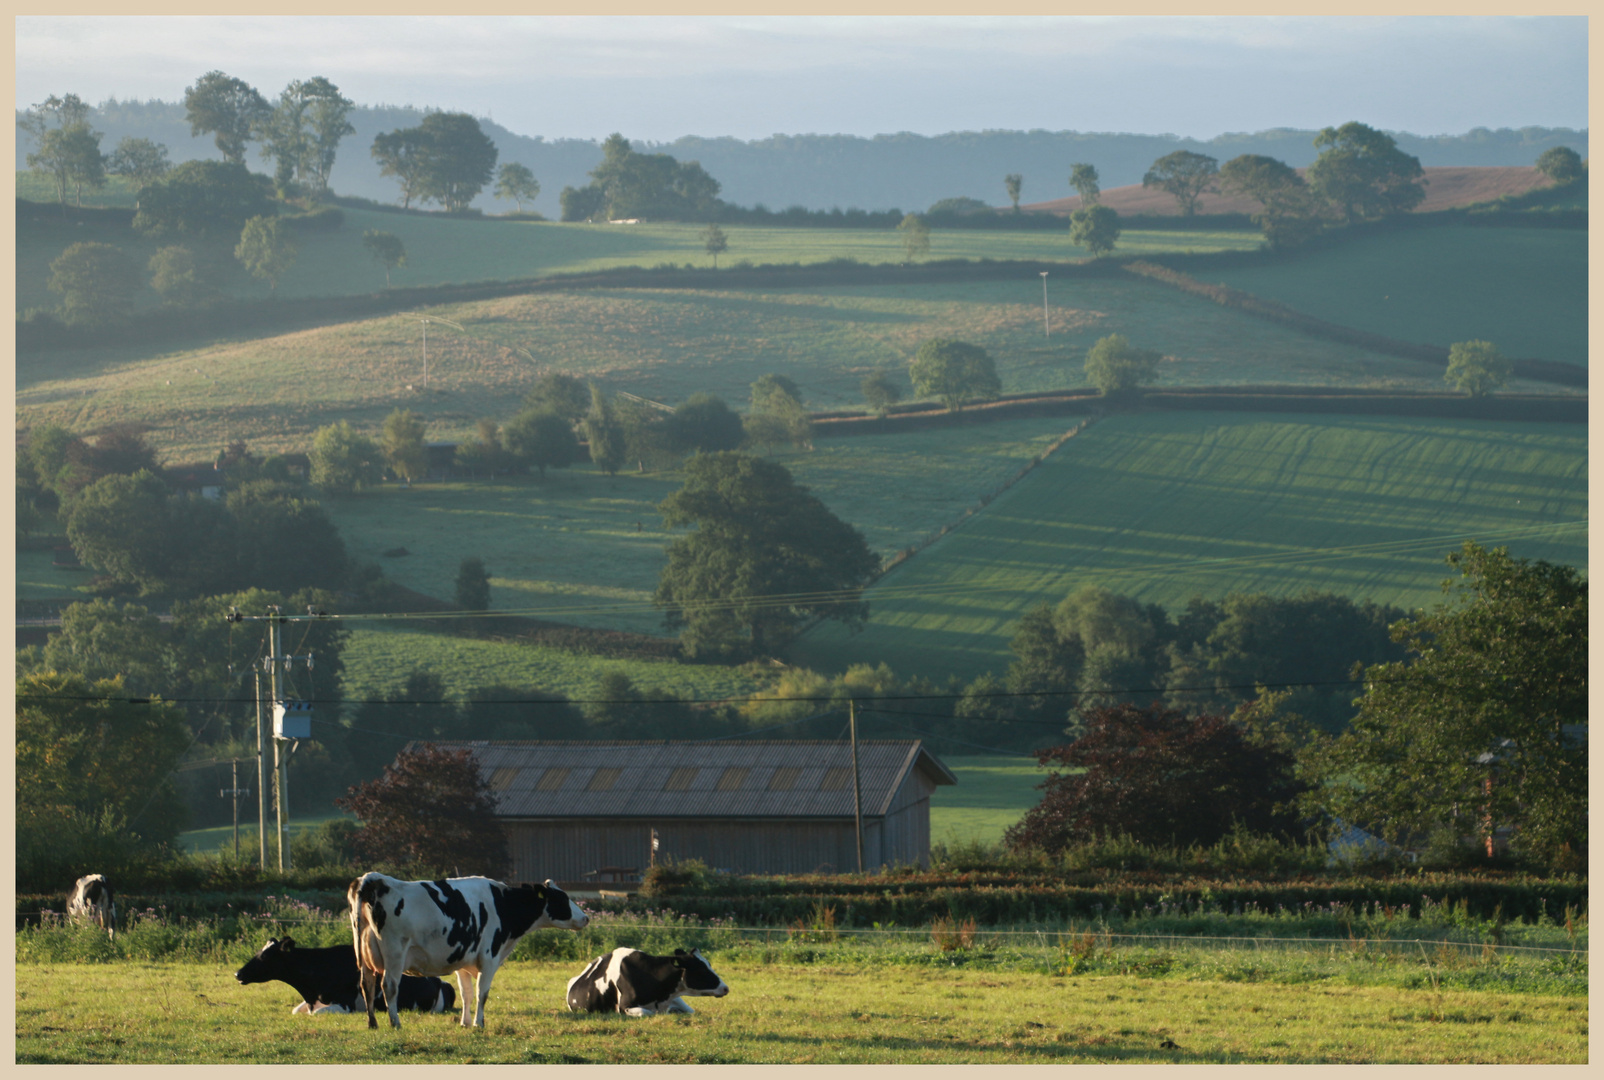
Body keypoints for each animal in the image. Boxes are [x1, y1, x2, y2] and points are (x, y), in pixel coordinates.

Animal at [234, 937, 458, 1014]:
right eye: (259, 952)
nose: (238, 973)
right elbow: (296, 1011)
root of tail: (439, 980)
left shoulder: (346, 1004)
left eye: (265, 956)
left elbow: (317, 1014)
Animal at [344, 866, 590, 1027]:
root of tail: (372, 878)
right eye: (562, 898)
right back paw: (395, 1022)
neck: (502, 903)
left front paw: (465, 1022)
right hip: (394, 952)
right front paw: (479, 1023)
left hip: (363, 954)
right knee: (389, 985)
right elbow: (483, 992)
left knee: (367, 984)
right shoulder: (489, 957)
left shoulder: (463, 960)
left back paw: (372, 1023)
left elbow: (467, 994)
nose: (586, 918)